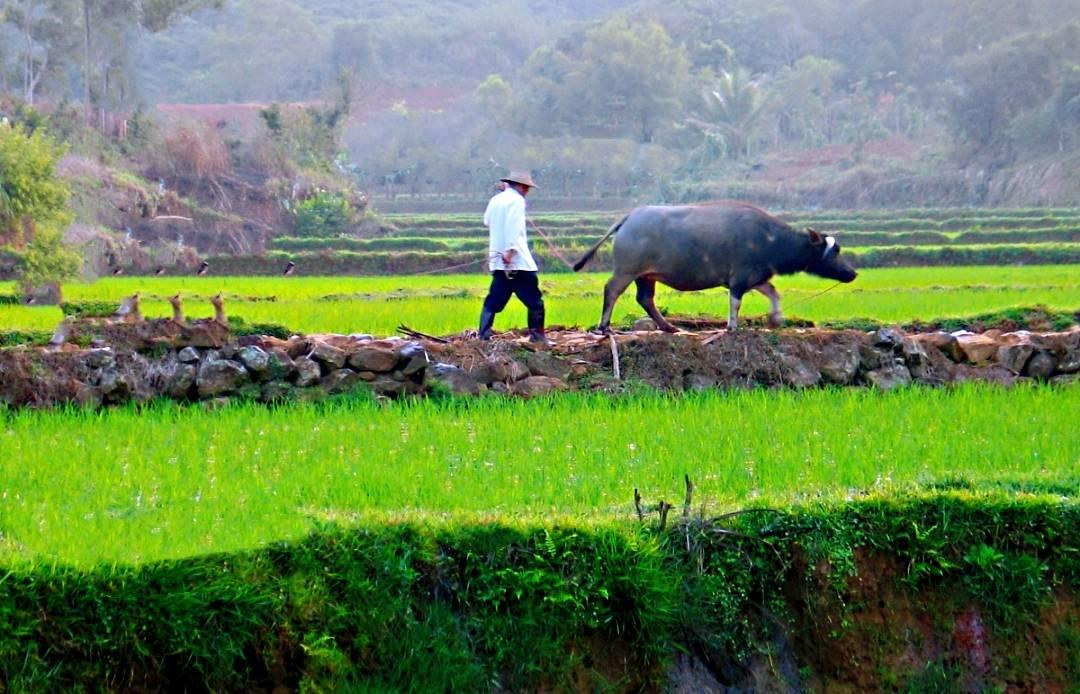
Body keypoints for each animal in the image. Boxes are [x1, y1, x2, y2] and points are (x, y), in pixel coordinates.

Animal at [570, 201, 855, 332]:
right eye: (835, 251)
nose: (852, 273)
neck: (769, 239)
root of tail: (629, 218)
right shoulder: (740, 279)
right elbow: (736, 302)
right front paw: (732, 326)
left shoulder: (756, 276)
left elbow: (774, 293)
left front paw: (775, 319)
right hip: (627, 269)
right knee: (612, 290)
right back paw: (604, 326)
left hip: (646, 275)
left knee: (645, 298)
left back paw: (669, 327)